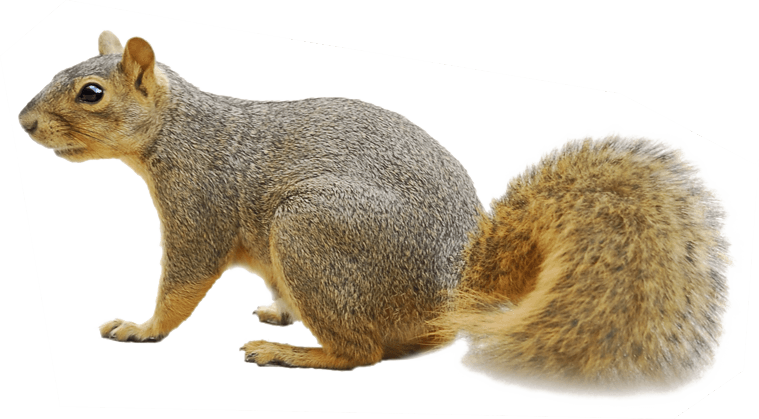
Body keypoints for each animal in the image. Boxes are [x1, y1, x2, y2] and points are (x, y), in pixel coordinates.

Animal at [18, 30, 740, 404]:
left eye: (91, 92)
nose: (24, 122)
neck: (178, 130)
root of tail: (458, 291)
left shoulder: (202, 204)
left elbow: (182, 284)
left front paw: (140, 329)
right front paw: (275, 307)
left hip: (309, 230)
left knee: (359, 354)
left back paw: (288, 354)